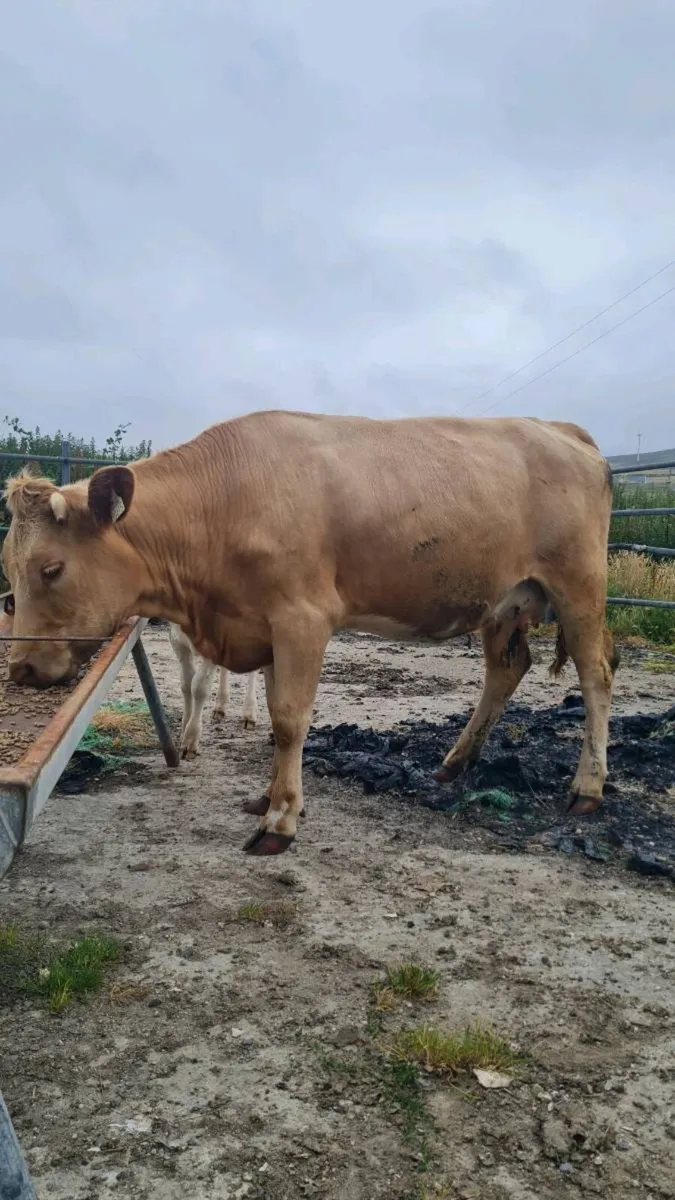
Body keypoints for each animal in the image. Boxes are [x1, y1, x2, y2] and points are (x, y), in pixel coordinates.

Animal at [168, 621, 259, 759]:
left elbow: (199, 688)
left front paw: (190, 740)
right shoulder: (177, 639)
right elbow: (186, 683)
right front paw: (185, 728)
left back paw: (249, 713)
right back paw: (220, 705)